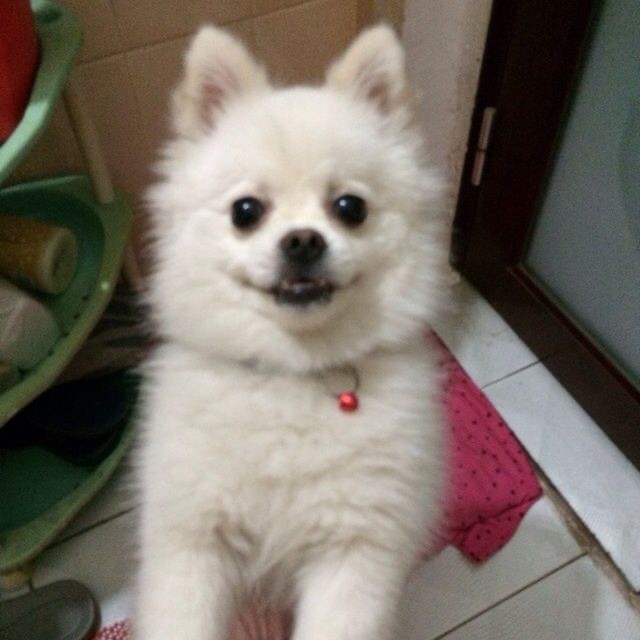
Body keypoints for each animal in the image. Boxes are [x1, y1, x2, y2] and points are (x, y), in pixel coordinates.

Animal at [135, 23, 449, 640]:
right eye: (246, 210)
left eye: (350, 207)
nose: (303, 241)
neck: (293, 374)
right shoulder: (193, 539)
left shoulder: (354, 548)